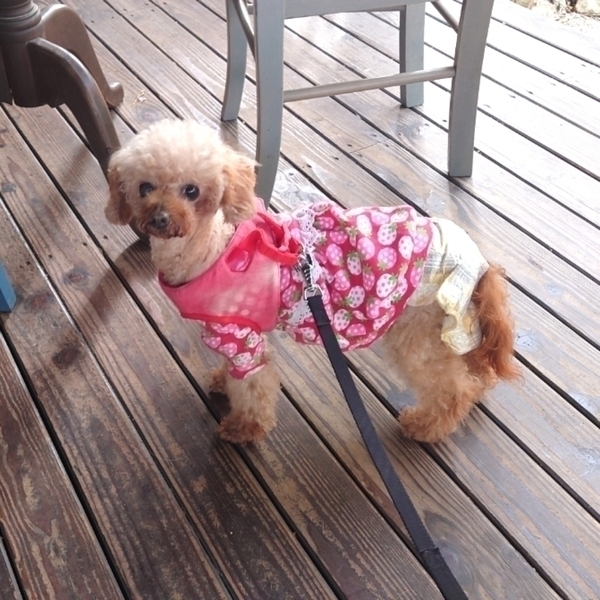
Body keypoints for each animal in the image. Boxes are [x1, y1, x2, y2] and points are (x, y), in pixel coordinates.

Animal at [106, 119, 520, 445]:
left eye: (192, 190)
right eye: (144, 187)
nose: (160, 218)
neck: (214, 248)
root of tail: (479, 262)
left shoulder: (241, 338)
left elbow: (253, 387)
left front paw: (244, 429)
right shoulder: (235, 331)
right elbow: (234, 371)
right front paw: (222, 380)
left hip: (417, 332)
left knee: (454, 389)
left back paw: (425, 426)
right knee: (470, 371)